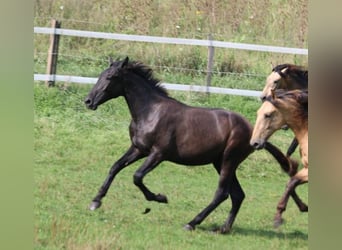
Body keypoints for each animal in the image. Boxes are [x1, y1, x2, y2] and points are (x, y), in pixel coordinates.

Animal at [84, 56, 298, 232]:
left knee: (222, 193)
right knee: (237, 195)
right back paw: (223, 228)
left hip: (228, 160)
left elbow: (137, 177)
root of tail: (253, 131)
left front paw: (160, 197)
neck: (150, 112)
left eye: (110, 77)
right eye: (101, 74)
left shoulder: (158, 154)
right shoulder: (138, 149)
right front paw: (95, 201)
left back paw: (192, 223)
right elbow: (115, 167)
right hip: (220, 162)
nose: (88, 101)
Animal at [250, 90, 308, 229]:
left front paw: (277, 218)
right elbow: (291, 182)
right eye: (258, 113)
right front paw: (303, 207)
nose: (254, 143)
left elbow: (291, 182)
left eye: (268, 115)